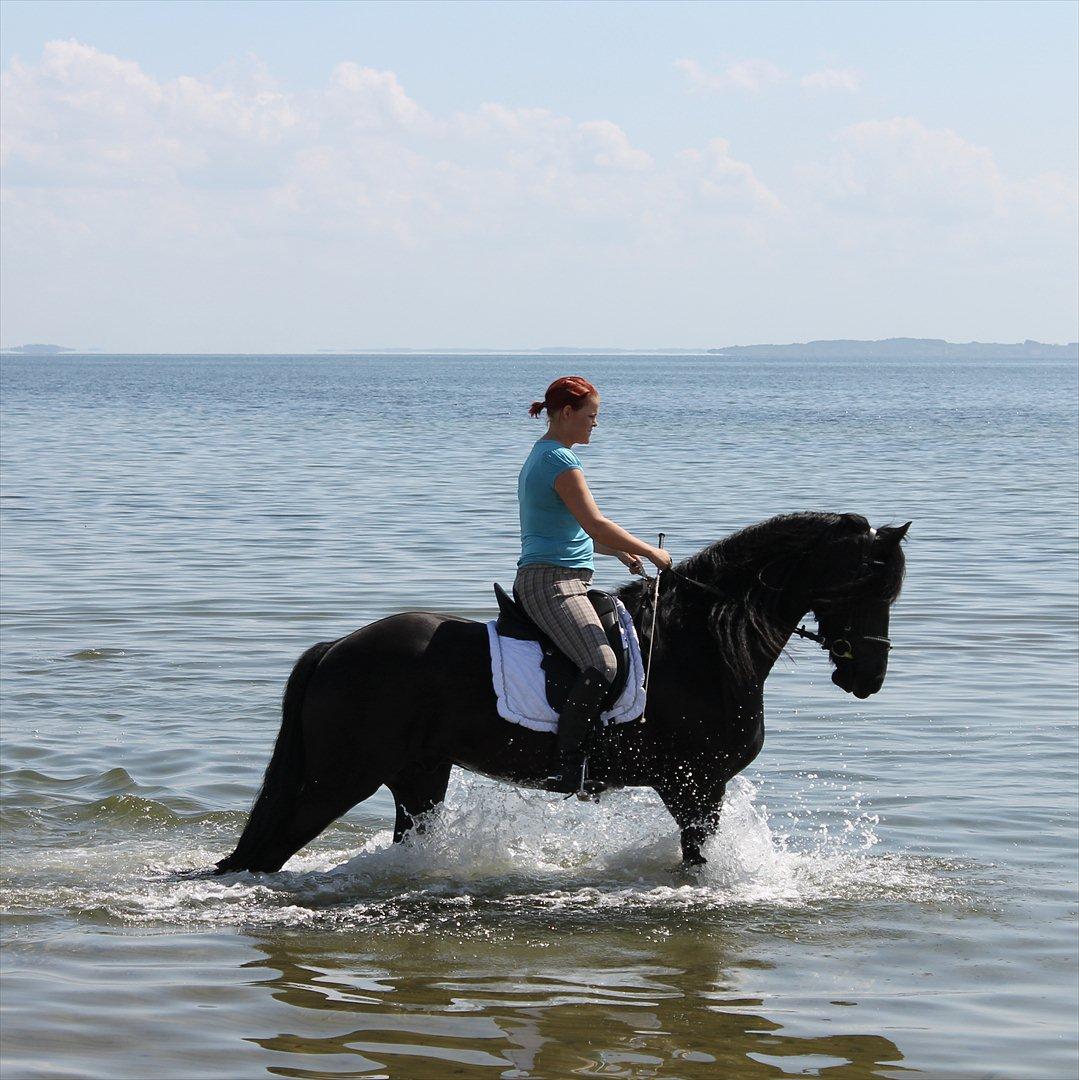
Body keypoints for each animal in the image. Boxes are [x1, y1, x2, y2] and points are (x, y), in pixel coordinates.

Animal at [214, 509, 907, 872]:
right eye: (871, 584)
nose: (867, 678)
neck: (699, 645)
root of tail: (336, 649)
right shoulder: (696, 785)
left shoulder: (699, 789)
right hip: (340, 778)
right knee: (264, 855)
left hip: (418, 775)